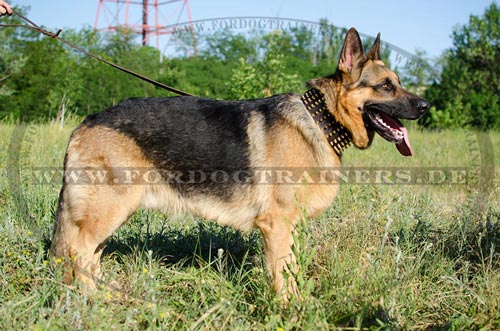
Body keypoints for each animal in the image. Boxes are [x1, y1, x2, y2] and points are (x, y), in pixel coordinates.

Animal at [50, 27, 430, 298]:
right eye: (385, 86)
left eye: (398, 83)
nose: (426, 106)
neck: (320, 119)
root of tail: (86, 123)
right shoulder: (277, 227)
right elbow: (284, 281)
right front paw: (291, 313)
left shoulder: (286, 229)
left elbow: (290, 274)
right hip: (107, 211)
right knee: (76, 254)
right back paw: (89, 303)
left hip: (107, 215)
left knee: (87, 257)